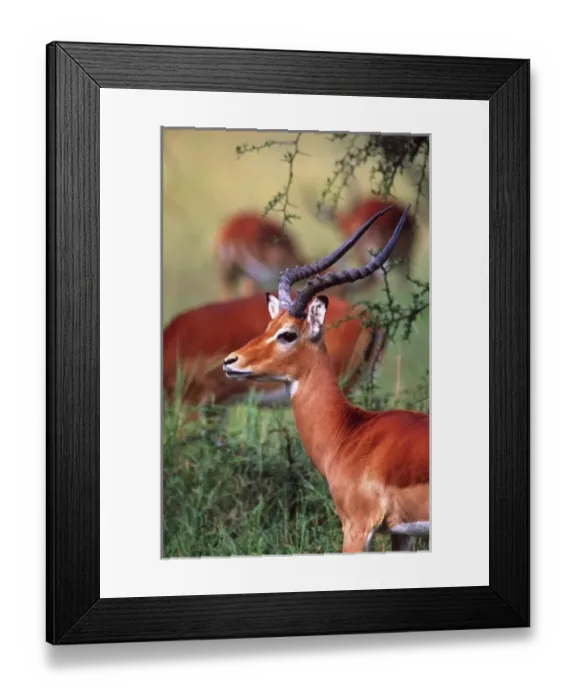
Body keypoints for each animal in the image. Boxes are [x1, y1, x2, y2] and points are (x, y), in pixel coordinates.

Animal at [163, 291, 387, 420]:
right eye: (267, 327)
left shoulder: (191, 403)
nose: (229, 361)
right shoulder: (217, 407)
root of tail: (368, 316)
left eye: (287, 334)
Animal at [223, 206, 429, 553]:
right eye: (268, 326)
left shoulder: (357, 528)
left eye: (288, 334)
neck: (350, 432)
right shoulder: (402, 533)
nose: (230, 361)